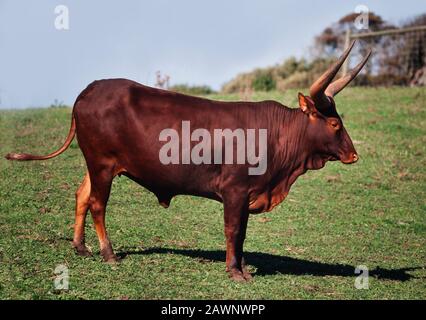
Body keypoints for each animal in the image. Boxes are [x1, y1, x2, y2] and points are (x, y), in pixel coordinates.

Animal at [4, 41, 370, 282]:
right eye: (333, 124)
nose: (354, 154)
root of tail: (90, 89)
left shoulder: (247, 194)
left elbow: (242, 234)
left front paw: (242, 267)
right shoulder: (235, 191)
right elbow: (233, 230)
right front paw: (235, 272)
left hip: (94, 164)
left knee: (81, 195)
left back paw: (81, 248)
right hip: (103, 165)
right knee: (97, 204)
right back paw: (108, 254)